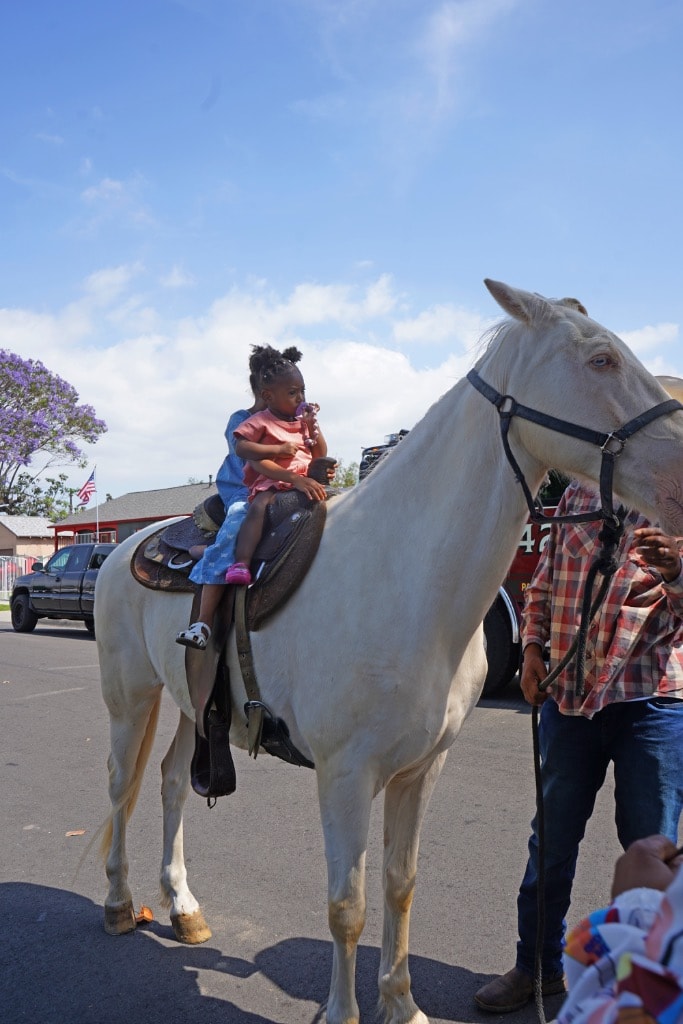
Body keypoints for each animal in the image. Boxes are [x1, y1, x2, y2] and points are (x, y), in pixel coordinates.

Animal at [96, 279, 683, 1024]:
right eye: (601, 359)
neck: (405, 578)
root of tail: (125, 548)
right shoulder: (344, 776)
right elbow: (346, 906)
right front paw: (345, 1011)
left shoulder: (420, 771)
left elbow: (400, 885)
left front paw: (401, 1004)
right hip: (130, 698)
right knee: (122, 785)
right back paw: (119, 904)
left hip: (190, 705)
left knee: (172, 781)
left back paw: (182, 907)